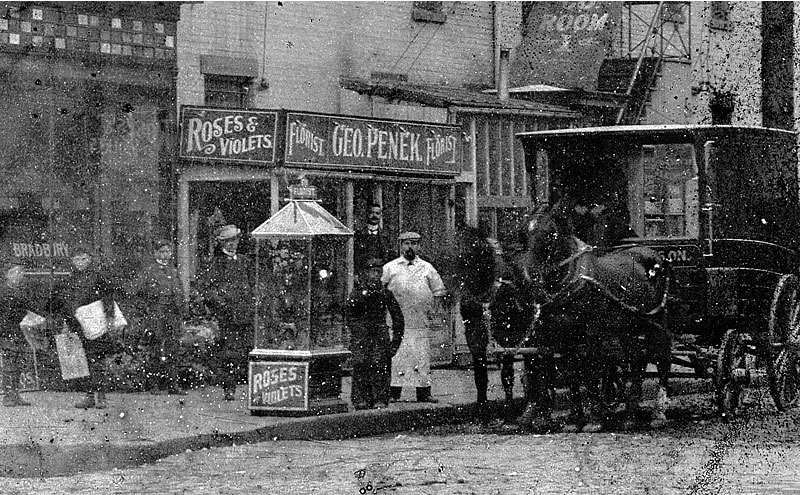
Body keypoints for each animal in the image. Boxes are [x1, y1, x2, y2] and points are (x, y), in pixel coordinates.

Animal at [520, 200, 676, 432]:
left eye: (551, 233)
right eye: (524, 232)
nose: (530, 274)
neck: (573, 278)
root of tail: (656, 256)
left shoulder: (592, 332)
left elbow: (591, 370)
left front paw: (594, 418)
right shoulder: (564, 335)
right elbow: (573, 374)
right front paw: (576, 418)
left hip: (655, 321)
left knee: (662, 357)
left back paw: (659, 412)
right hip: (629, 328)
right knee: (637, 361)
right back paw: (630, 414)